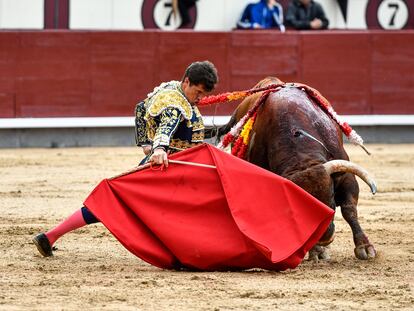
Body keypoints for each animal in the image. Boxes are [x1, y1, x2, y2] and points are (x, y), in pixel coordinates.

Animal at [218, 77, 376, 260]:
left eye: (331, 194)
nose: (324, 238)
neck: (301, 157)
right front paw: (316, 250)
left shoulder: (345, 175)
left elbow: (349, 210)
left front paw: (365, 247)